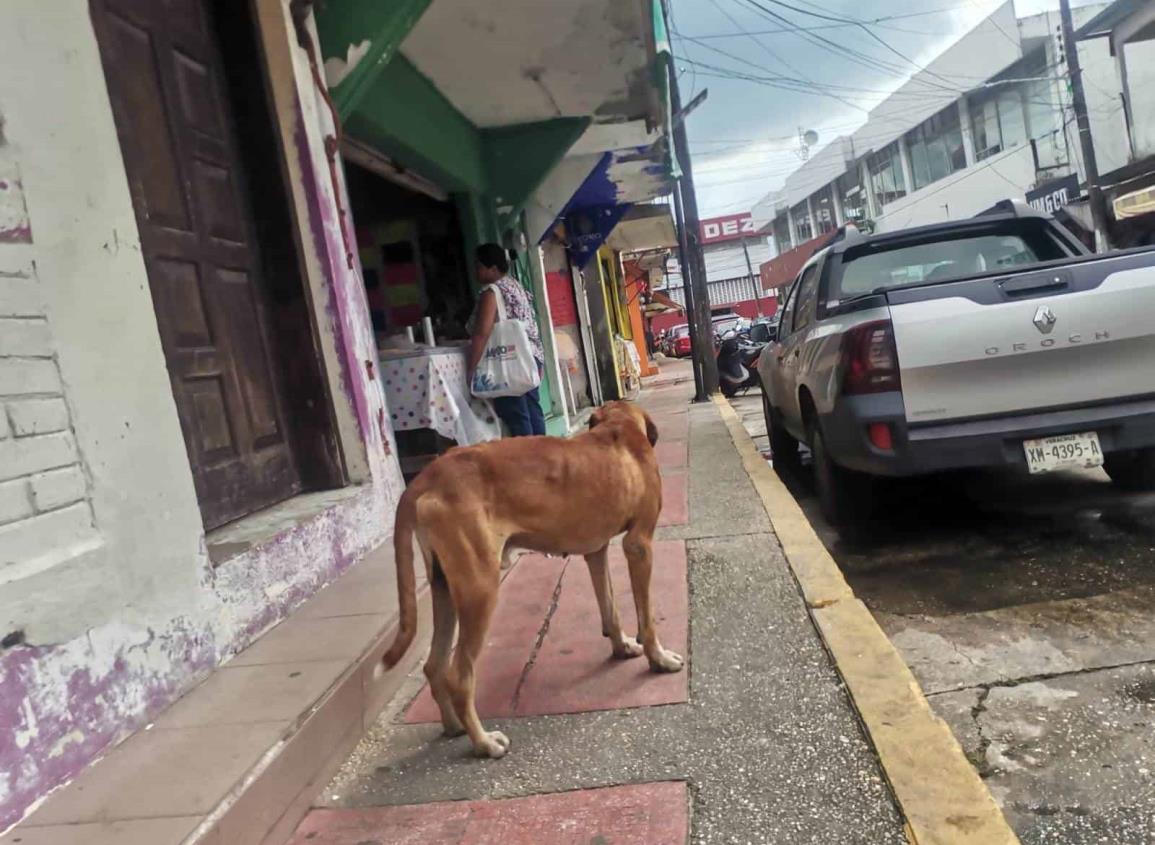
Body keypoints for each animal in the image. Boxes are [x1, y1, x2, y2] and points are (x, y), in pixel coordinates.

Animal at [383, 401, 679, 757]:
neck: (619, 425)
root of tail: (429, 474)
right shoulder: (639, 546)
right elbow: (646, 618)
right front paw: (659, 658)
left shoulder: (596, 552)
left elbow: (610, 606)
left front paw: (621, 645)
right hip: (480, 588)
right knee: (459, 675)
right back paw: (484, 743)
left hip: (445, 589)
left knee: (435, 665)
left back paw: (453, 725)